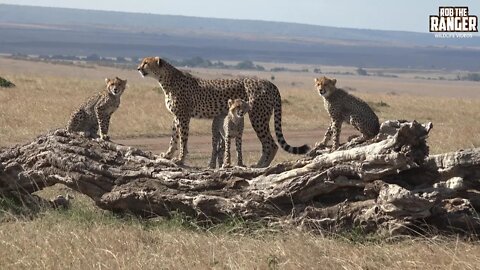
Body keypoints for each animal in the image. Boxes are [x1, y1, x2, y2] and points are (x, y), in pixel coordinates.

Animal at [137, 56, 310, 167]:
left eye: (146, 63)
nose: (138, 68)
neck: (166, 79)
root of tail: (269, 82)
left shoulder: (184, 116)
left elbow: (183, 139)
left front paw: (180, 159)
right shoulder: (177, 116)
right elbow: (173, 137)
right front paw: (167, 155)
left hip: (257, 117)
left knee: (270, 144)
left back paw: (260, 165)